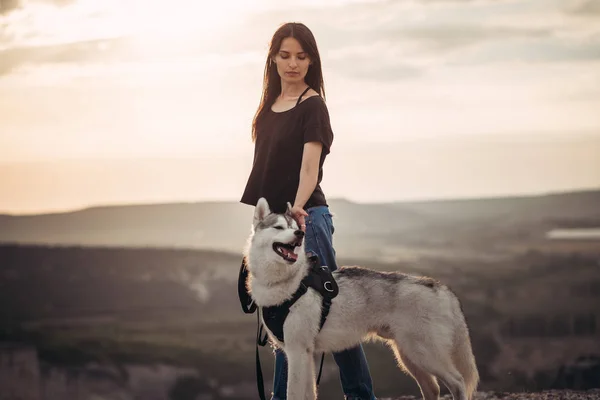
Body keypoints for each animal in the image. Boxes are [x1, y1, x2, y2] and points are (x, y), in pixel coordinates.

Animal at [244, 198, 478, 400]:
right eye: (278, 228)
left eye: (294, 227)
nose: (300, 233)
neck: (289, 283)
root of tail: (439, 287)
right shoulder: (303, 353)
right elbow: (309, 394)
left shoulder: (297, 351)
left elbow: (293, 393)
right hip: (408, 356)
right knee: (432, 388)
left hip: (423, 353)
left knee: (457, 382)